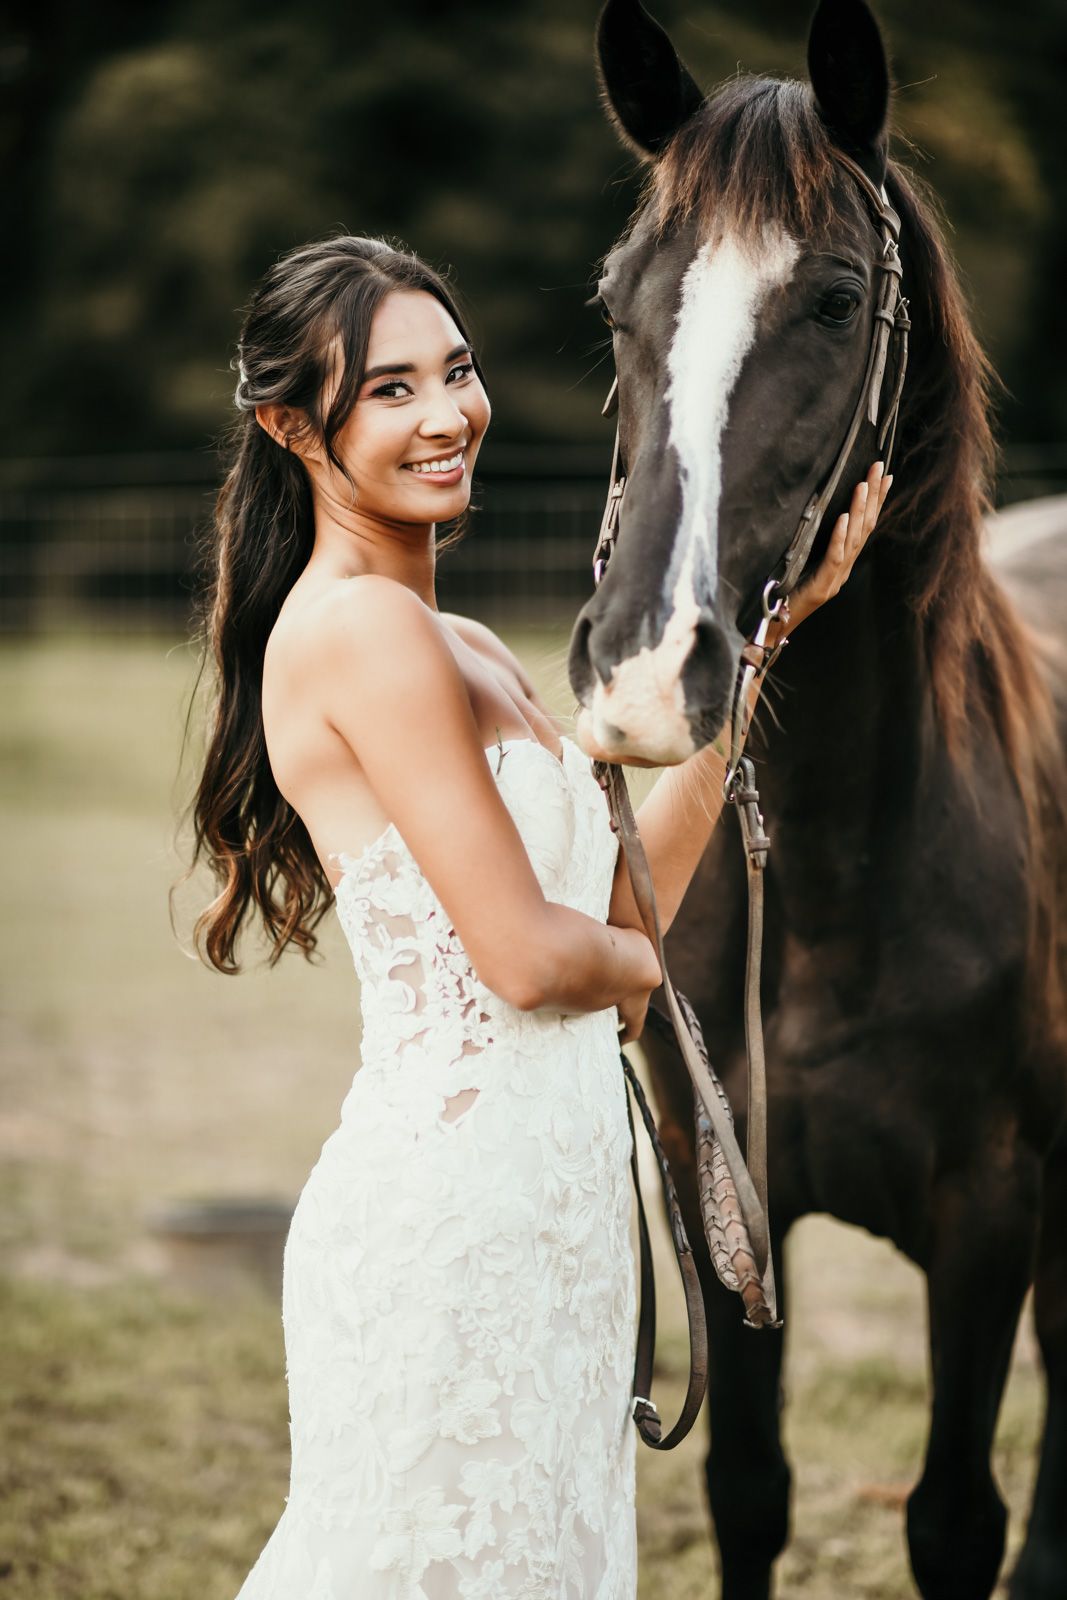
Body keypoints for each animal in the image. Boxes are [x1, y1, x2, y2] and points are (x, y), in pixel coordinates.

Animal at [566, 2, 1067, 1596]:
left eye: (837, 302)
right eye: (615, 300)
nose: (645, 665)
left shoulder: (988, 1214)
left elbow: (951, 1516)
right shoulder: (726, 1195)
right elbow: (746, 1488)